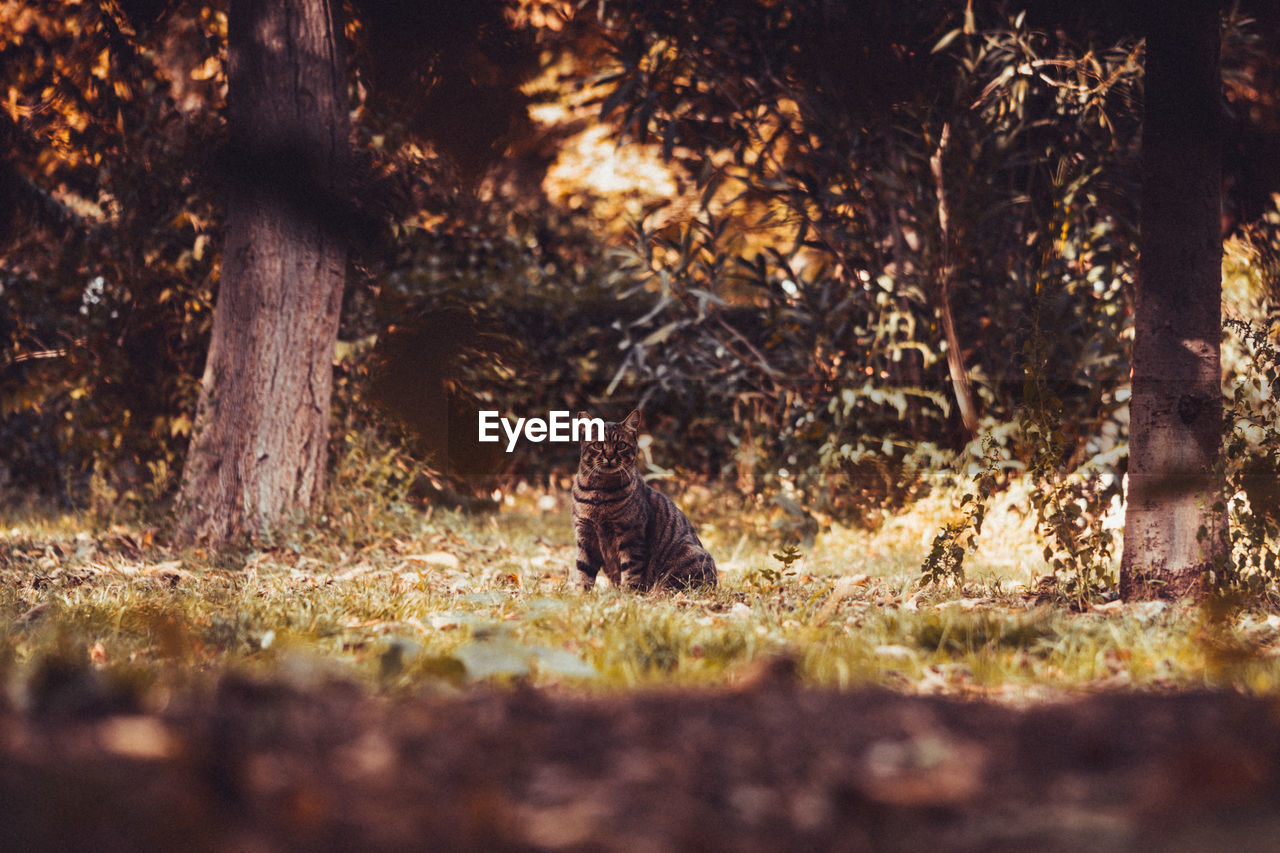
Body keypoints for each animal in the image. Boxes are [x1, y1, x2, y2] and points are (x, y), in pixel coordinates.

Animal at [573, 409, 716, 589]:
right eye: (598, 445)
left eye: (621, 445)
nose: (610, 457)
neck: (599, 491)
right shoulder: (585, 535)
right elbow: (583, 570)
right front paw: (580, 593)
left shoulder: (631, 535)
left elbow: (631, 572)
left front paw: (627, 594)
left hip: (685, 556)